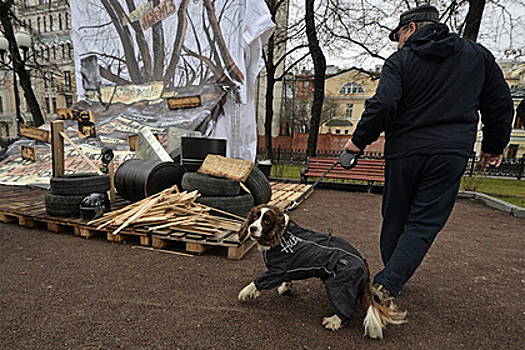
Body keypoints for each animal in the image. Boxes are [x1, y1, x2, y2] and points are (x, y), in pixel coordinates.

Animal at [236, 205, 406, 340]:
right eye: (255, 217)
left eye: (267, 221)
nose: (252, 228)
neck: (282, 235)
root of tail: (363, 260)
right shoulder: (287, 268)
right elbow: (287, 278)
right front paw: (285, 287)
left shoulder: (276, 272)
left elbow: (257, 282)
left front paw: (245, 292)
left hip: (340, 284)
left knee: (346, 308)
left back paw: (334, 321)